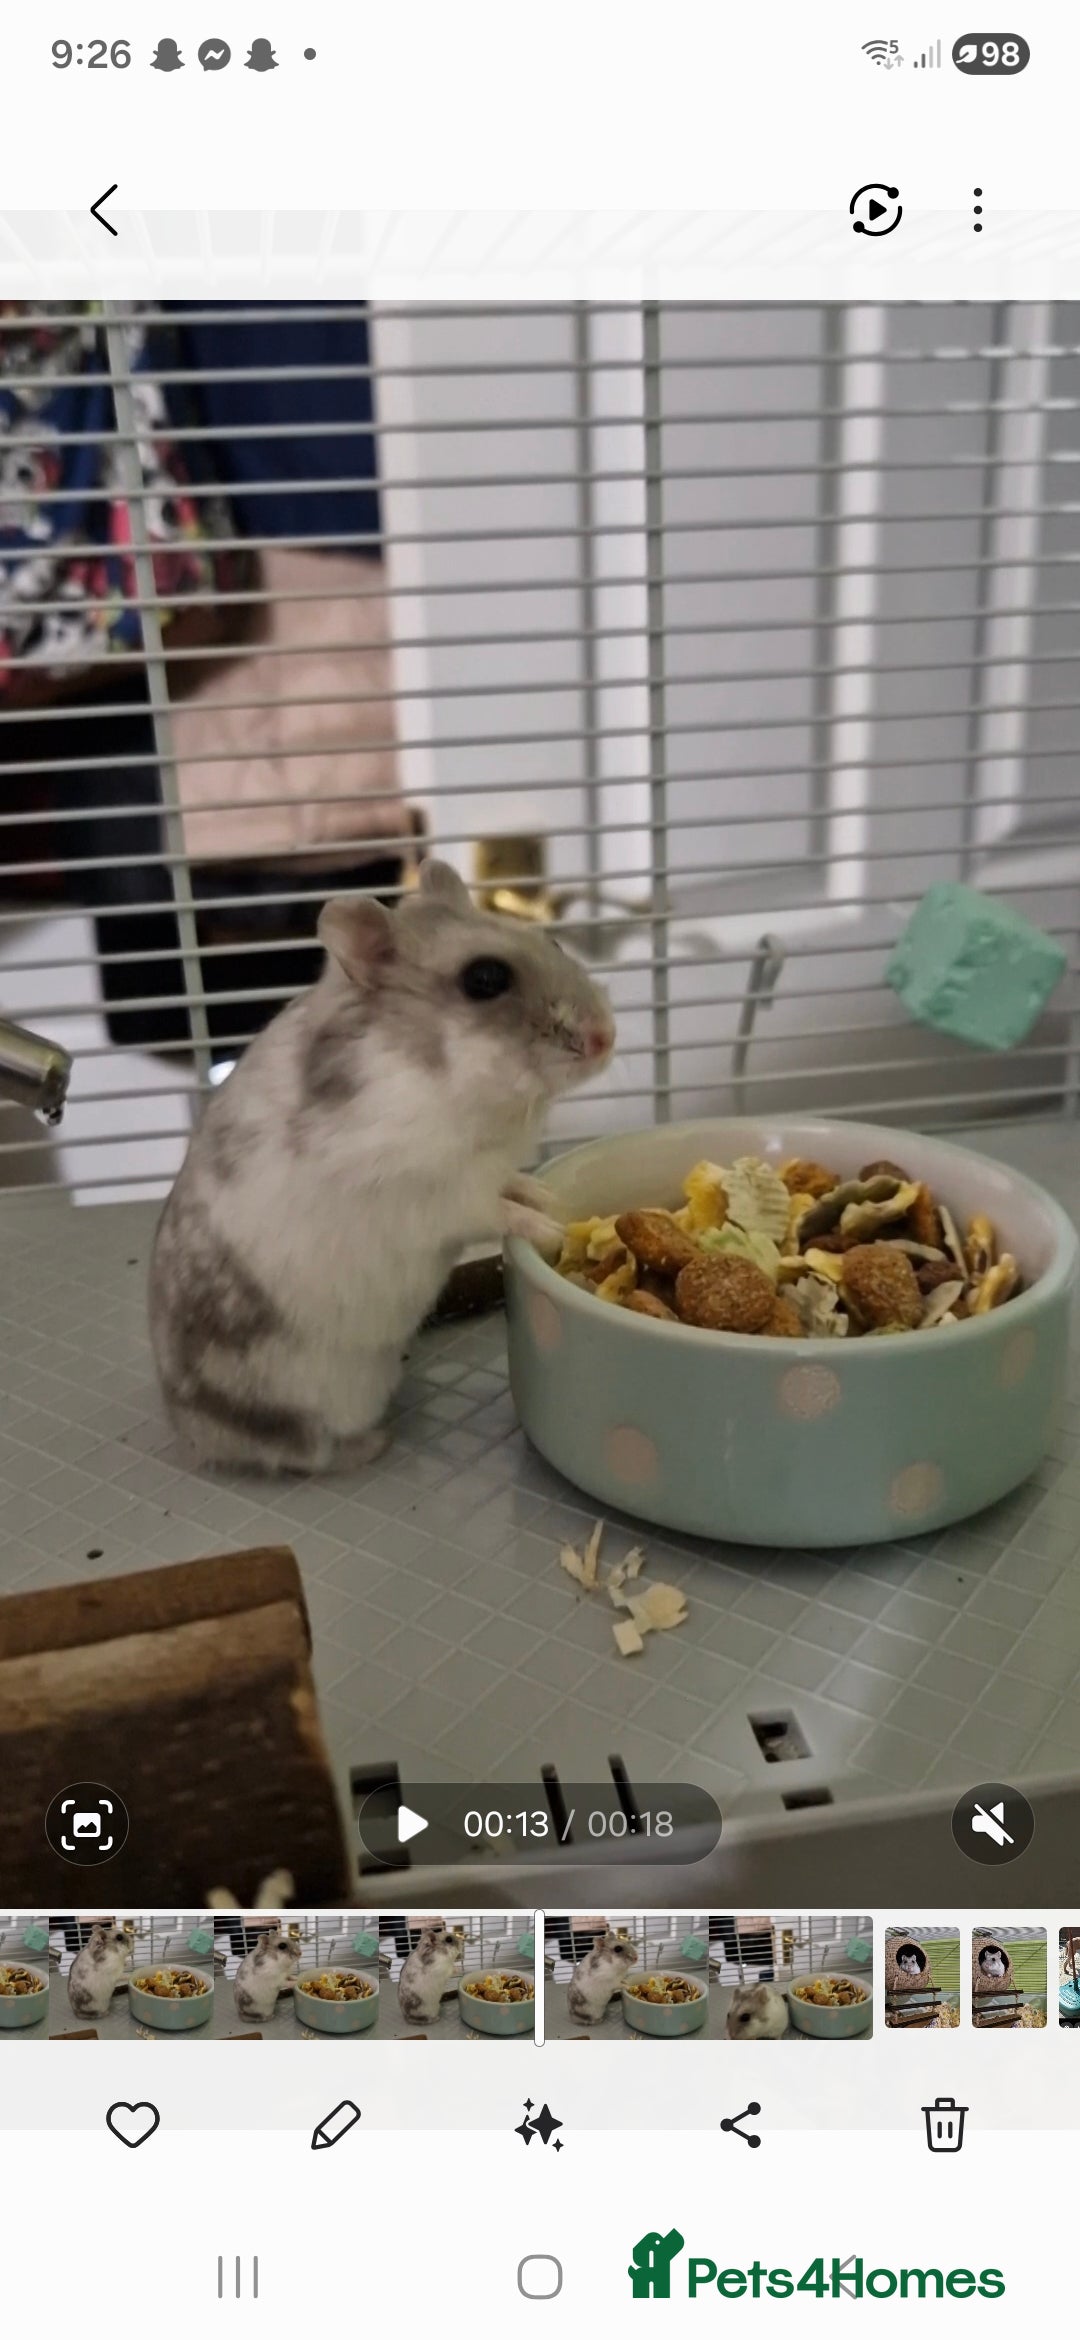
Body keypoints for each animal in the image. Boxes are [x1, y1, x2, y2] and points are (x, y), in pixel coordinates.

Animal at [149, 858, 614, 1475]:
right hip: (313, 1405)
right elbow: (494, 1209)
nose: (606, 1039)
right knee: (308, 1450)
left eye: (554, 941)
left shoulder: (484, 1169)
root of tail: (192, 1435)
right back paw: (374, 1445)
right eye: (485, 979)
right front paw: (549, 1224)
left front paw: (544, 1196)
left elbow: (512, 1184)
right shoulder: (436, 1191)